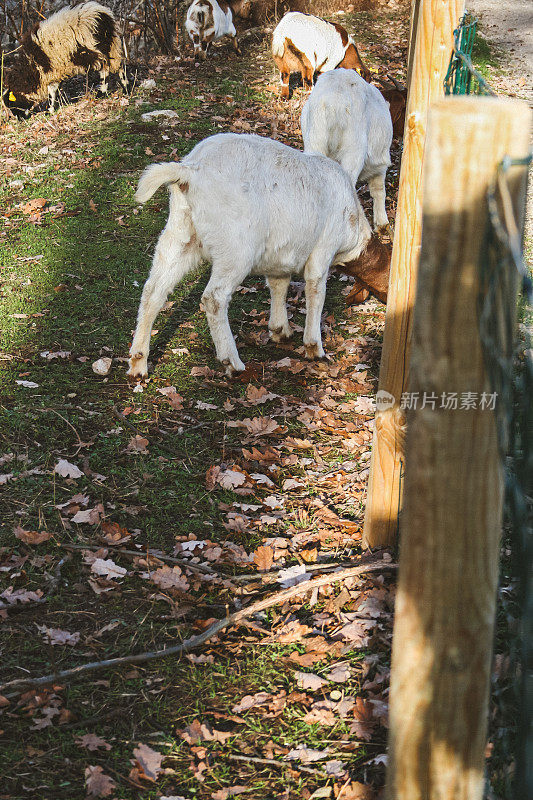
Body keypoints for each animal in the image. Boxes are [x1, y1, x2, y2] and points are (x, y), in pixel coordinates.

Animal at [127, 133, 388, 380]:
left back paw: (138, 362)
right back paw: (232, 362)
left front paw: (279, 329)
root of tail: (191, 171)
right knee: (213, 298)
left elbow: (278, 286)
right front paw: (315, 348)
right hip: (235, 247)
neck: (355, 229)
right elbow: (315, 291)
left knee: (153, 291)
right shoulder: (323, 250)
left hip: (179, 234)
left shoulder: (279, 259)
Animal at [302, 68, 392, 231]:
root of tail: (333, 101)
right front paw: (382, 223)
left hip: (315, 140)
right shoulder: (380, 165)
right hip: (353, 149)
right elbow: (378, 190)